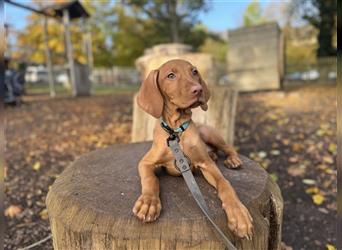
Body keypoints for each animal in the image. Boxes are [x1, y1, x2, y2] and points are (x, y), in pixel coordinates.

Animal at [134, 59, 254, 240]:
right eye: (171, 75)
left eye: (194, 72)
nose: (198, 89)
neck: (176, 131)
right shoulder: (146, 162)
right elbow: (150, 179)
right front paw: (148, 202)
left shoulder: (207, 165)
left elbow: (225, 184)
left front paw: (239, 214)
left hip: (208, 132)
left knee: (227, 147)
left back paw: (233, 160)